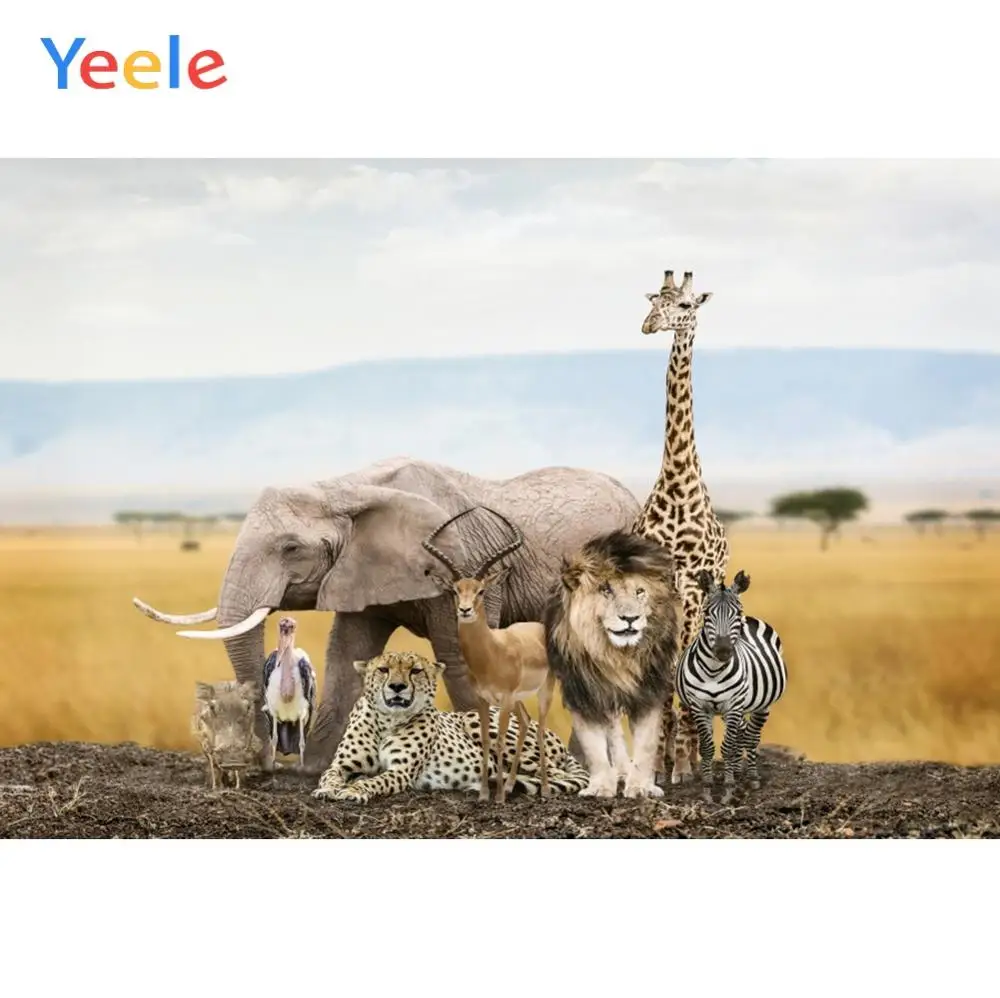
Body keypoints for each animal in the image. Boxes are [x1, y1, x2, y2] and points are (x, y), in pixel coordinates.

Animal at [133, 456, 639, 773]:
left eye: (291, 548)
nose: (266, 763)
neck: (346, 487)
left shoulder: (464, 564)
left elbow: (457, 657)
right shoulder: (360, 570)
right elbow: (347, 652)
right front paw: (317, 769)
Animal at [544, 529, 682, 798]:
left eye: (640, 591)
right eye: (605, 589)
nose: (630, 618)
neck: (617, 655)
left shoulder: (649, 693)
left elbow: (646, 745)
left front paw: (640, 787)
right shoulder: (583, 695)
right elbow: (594, 747)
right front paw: (600, 787)